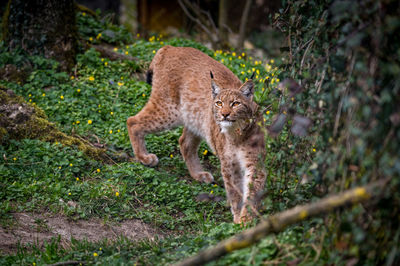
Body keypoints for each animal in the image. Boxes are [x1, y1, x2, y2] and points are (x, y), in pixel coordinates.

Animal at [126, 45, 268, 222]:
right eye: (219, 103)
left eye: (236, 104)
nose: (224, 114)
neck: (237, 133)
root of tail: (170, 47)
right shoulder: (229, 163)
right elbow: (235, 192)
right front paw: (239, 220)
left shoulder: (255, 163)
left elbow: (252, 193)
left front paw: (245, 221)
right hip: (169, 110)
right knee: (132, 121)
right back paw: (143, 157)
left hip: (195, 119)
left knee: (184, 143)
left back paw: (198, 174)